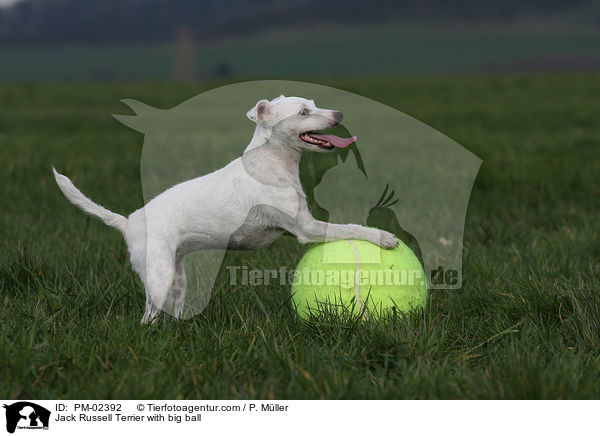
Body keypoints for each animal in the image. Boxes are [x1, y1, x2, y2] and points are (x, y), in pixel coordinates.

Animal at [54, 97, 396, 326]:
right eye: (304, 112)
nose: (340, 114)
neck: (272, 163)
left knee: (169, 311)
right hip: (158, 277)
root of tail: (129, 222)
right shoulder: (306, 228)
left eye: (314, 104)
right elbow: (350, 227)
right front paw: (383, 236)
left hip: (177, 278)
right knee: (147, 317)